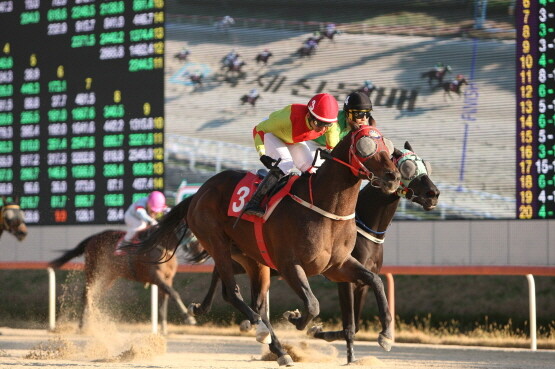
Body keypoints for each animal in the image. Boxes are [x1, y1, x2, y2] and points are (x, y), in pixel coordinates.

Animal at [137, 126, 402, 366]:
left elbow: (375, 280)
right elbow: (312, 304)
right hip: (216, 242)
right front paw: (295, 318)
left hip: (253, 259)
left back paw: (278, 349)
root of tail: (200, 191)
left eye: (388, 146)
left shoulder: (337, 266)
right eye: (366, 145)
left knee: (256, 302)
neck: (326, 209)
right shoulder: (289, 265)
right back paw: (261, 330)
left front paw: (386, 335)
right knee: (232, 293)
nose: (393, 177)